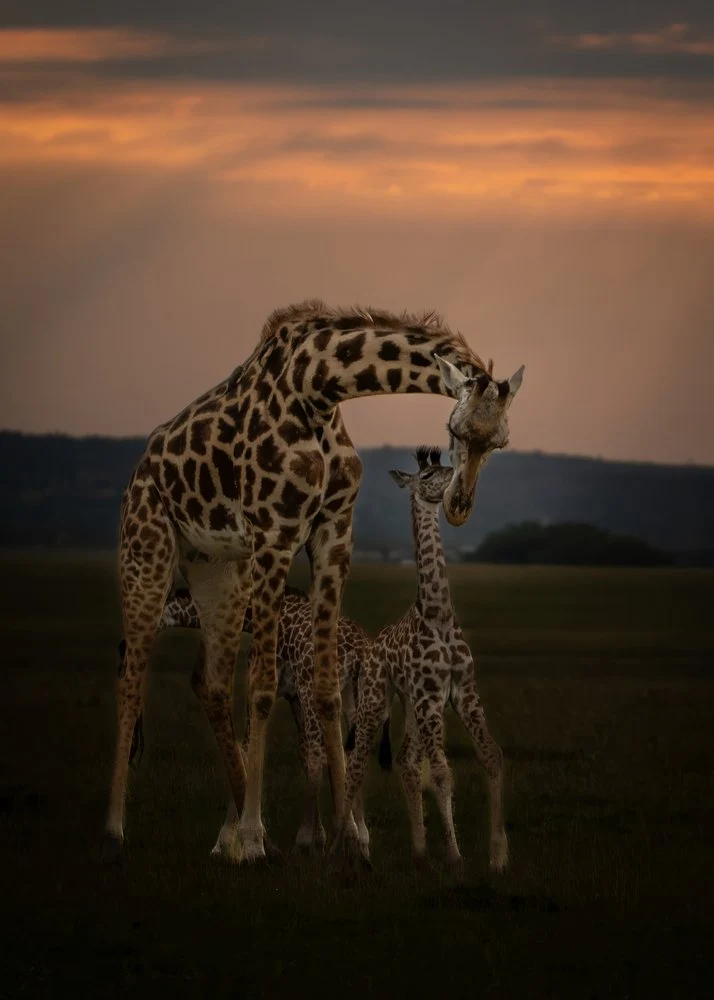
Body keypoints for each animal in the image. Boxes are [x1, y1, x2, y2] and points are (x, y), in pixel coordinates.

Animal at [117, 586, 390, 858]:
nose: (124, 645)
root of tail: (359, 649)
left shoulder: (273, 690)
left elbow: (247, 750)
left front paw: (225, 842)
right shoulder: (295, 698)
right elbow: (309, 755)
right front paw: (323, 838)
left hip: (318, 689)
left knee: (320, 754)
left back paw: (305, 841)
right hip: (355, 695)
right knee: (352, 753)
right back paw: (360, 840)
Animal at [337, 447, 509, 874]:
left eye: (445, 464)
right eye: (429, 474)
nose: (458, 481)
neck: (439, 614)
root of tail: (371, 647)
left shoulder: (461, 692)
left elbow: (491, 756)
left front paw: (497, 856)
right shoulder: (433, 697)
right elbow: (444, 773)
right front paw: (455, 855)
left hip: (411, 704)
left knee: (406, 760)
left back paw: (416, 850)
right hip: (375, 699)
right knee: (356, 761)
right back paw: (343, 848)